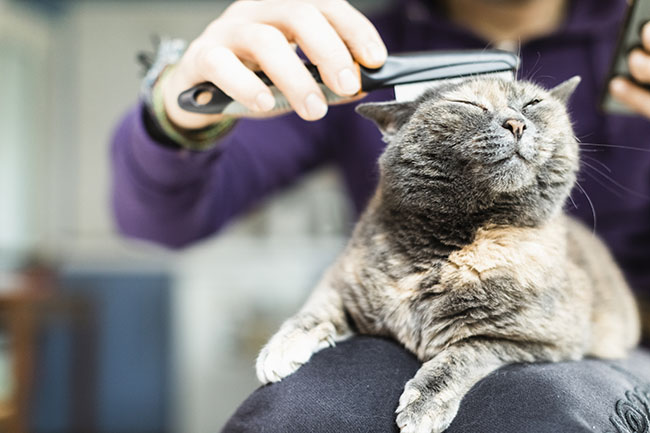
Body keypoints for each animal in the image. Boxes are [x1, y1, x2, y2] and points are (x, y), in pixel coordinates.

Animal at [253, 75, 636, 432]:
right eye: (469, 103)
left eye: (532, 104)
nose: (516, 123)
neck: (446, 250)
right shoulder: (342, 281)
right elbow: (312, 312)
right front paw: (277, 352)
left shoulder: (538, 340)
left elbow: (463, 353)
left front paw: (422, 407)